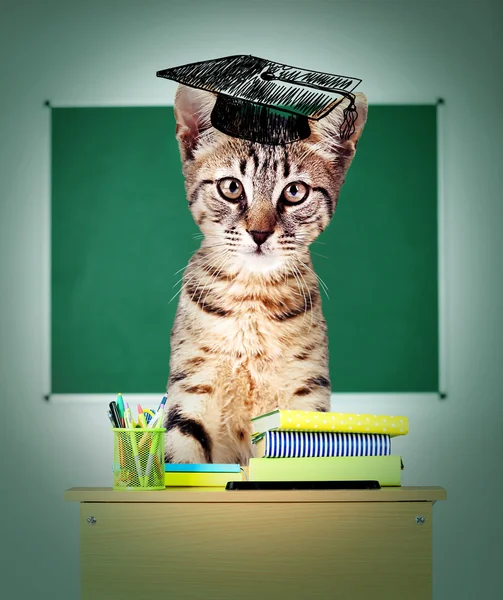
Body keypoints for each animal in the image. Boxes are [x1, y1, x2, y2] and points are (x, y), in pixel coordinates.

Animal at [163, 83, 368, 464]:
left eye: (295, 191)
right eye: (231, 187)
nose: (259, 233)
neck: (252, 300)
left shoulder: (306, 394)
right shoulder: (191, 390)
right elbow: (182, 461)